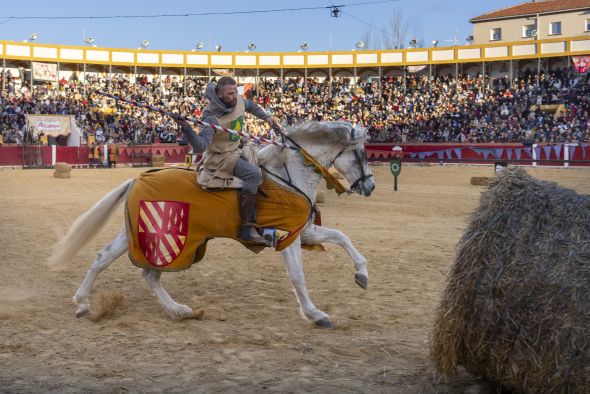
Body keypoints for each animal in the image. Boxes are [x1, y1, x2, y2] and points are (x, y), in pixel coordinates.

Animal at [48, 121, 376, 330]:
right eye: (361, 154)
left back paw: (85, 303)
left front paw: (361, 275)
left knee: (105, 257)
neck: (289, 174)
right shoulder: (289, 237)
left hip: (135, 233)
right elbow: (298, 277)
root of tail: (137, 177)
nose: (370, 186)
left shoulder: (304, 231)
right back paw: (178, 310)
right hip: (167, 239)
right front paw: (316, 314)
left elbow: (341, 237)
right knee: (149, 273)